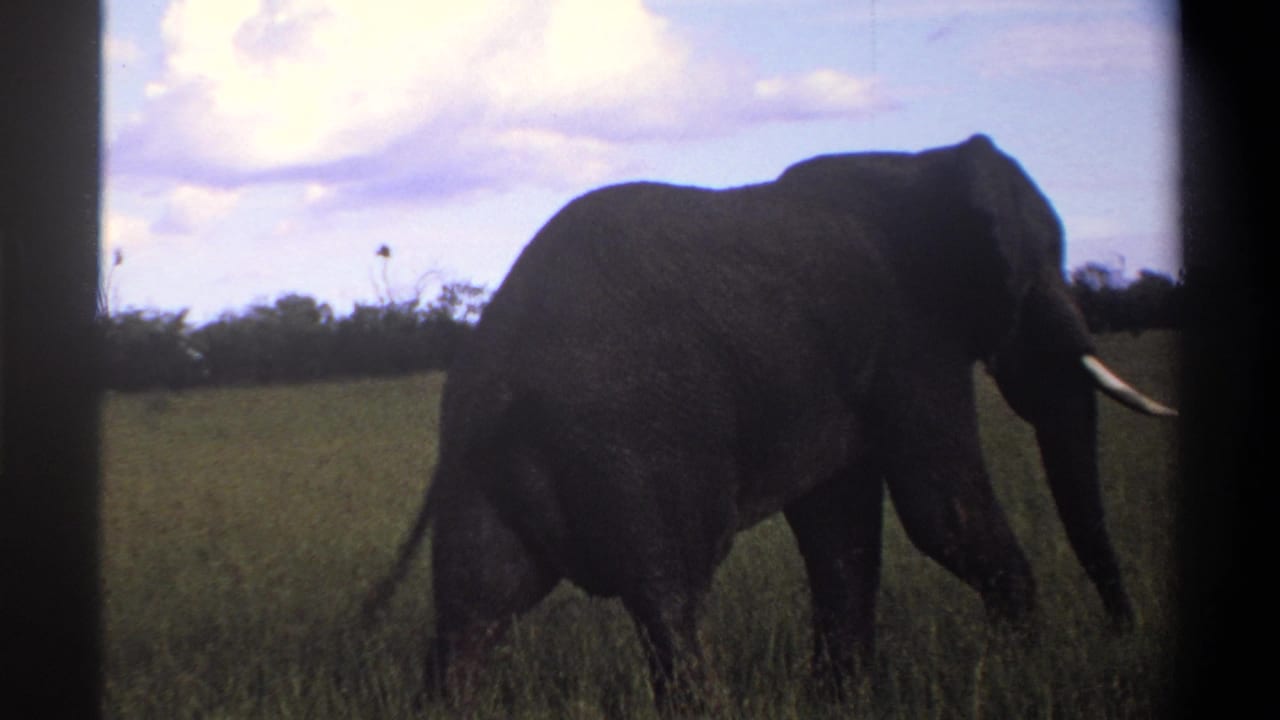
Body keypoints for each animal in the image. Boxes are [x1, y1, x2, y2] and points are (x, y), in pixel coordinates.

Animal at [363, 134, 1176, 711]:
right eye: (1040, 271)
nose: (1120, 630)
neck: (921, 162)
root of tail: (490, 376)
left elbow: (841, 532)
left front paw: (843, 700)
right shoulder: (912, 340)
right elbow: (943, 513)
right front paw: (1019, 666)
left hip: (487, 472)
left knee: (473, 613)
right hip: (630, 446)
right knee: (668, 599)